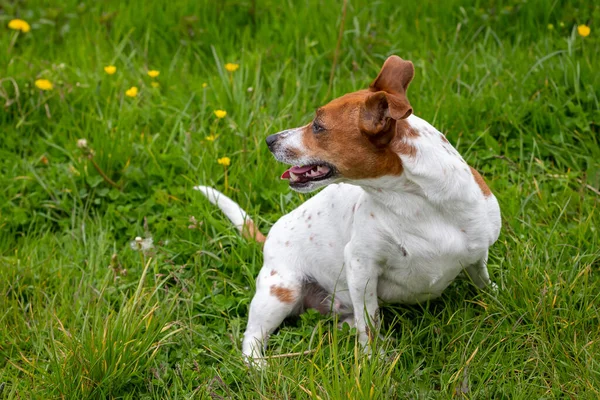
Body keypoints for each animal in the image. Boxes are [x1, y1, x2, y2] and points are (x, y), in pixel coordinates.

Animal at [196, 56, 502, 366]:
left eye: (318, 126)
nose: (269, 140)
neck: (417, 202)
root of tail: (269, 234)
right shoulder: (361, 266)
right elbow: (370, 323)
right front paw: (373, 362)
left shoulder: (478, 253)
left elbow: (482, 280)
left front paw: (497, 300)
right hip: (281, 292)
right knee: (252, 339)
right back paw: (259, 367)